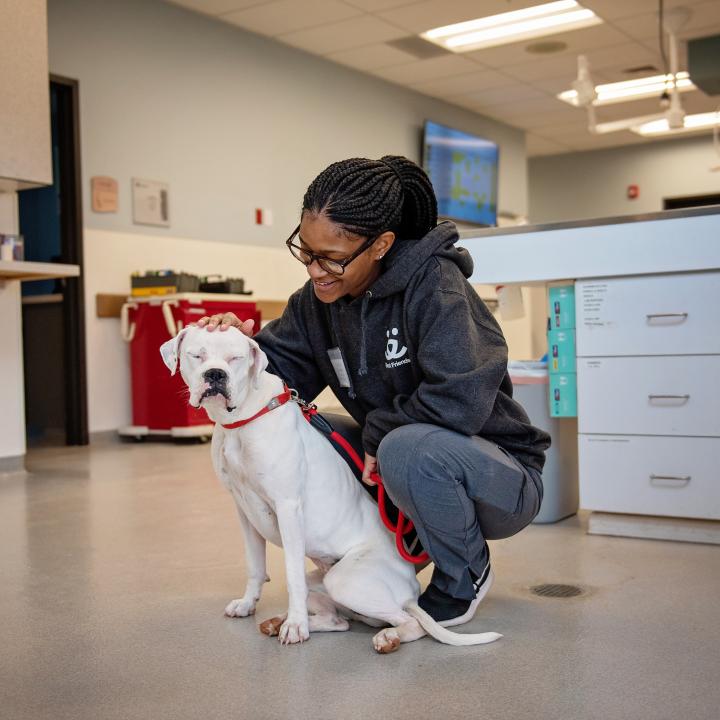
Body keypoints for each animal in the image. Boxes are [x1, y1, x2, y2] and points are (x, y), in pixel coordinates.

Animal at [161, 326, 500, 652]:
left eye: (235, 359)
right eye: (197, 356)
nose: (215, 375)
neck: (243, 419)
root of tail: (411, 589)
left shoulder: (287, 506)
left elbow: (292, 575)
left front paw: (296, 626)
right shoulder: (244, 512)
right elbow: (255, 566)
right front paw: (248, 605)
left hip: (345, 581)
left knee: (410, 623)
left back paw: (384, 637)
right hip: (327, 588)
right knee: (338, 621)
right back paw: (281, 621)